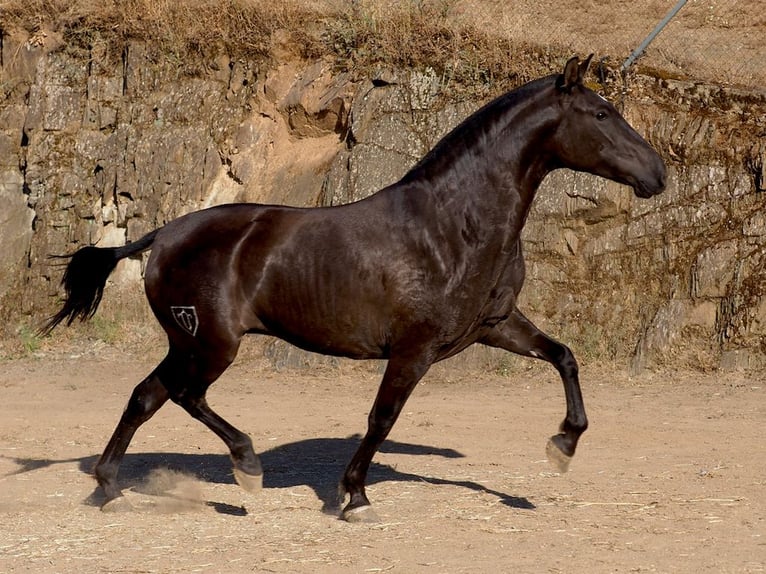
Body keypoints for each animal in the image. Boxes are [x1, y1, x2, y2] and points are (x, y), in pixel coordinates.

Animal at [42, 56, 664, 524]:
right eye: (602, 113)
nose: (657, 173)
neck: (453, 224)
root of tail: (163, 234)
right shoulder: (415, 348)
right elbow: (382, 418)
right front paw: (355, 498)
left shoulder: (494, 325)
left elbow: (564, 357)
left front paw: (563, 446)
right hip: (211, 343)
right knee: (183, 396)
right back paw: (246, 467)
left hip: (188, 342)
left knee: (147, 396)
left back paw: (109, 489)